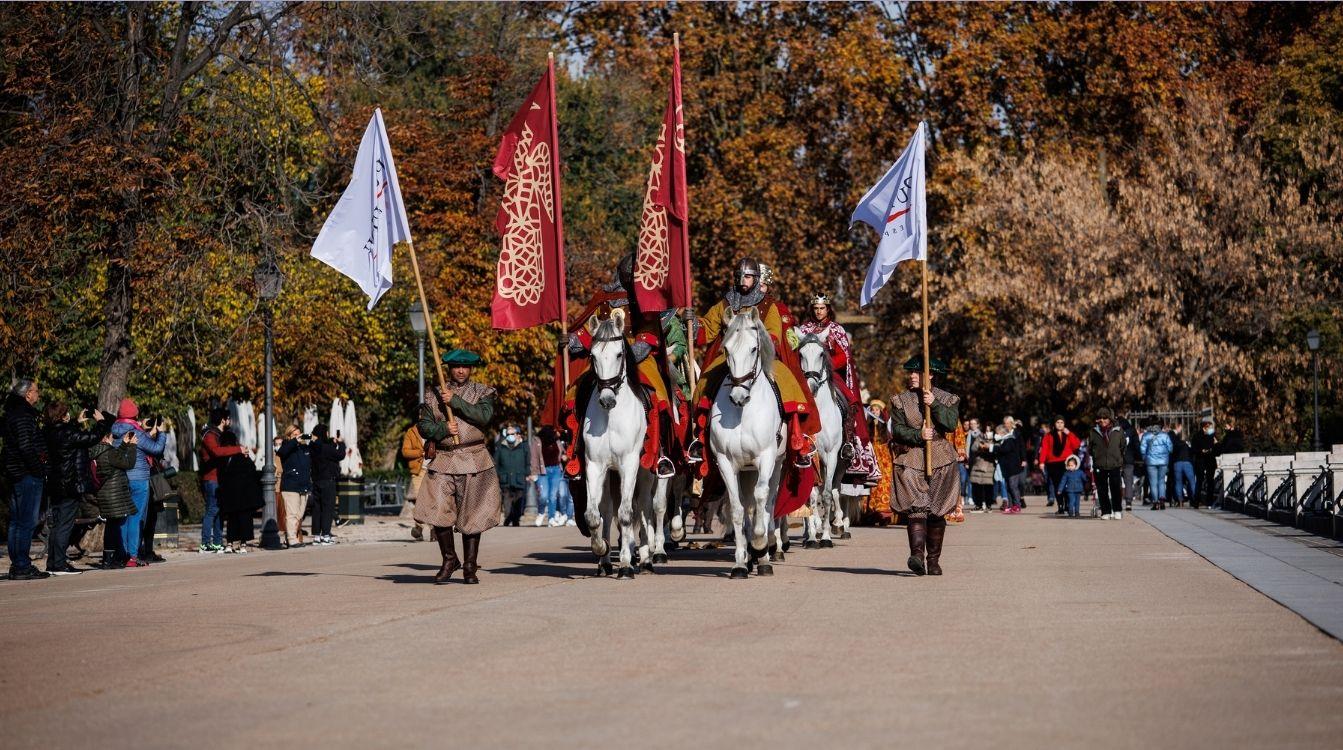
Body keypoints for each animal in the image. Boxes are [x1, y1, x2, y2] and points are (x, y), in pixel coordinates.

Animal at [577, 311, 666, 583]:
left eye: (618, 354)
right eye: (592, 356)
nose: (607, 400)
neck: (611, 419)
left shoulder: (630, 464)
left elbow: (627, 514)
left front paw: (626, 564)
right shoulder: (595, 466)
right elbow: (593, 515)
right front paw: (601, 548)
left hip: (646, 473)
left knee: (644, 508)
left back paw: (646, 558)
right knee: (608, 509)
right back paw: (606, 562)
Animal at [703, 309, 784, 577]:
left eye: (753, 349)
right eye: (726, 349)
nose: (738, 397)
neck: (743, 414)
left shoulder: (766, 458)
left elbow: (762, 500)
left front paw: (760, 545)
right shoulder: (726, 463)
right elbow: (738, 508)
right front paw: (740, 561)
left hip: (777, 464)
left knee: (767, 502)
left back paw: (766, 554)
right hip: (747, 470)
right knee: (748, 505)